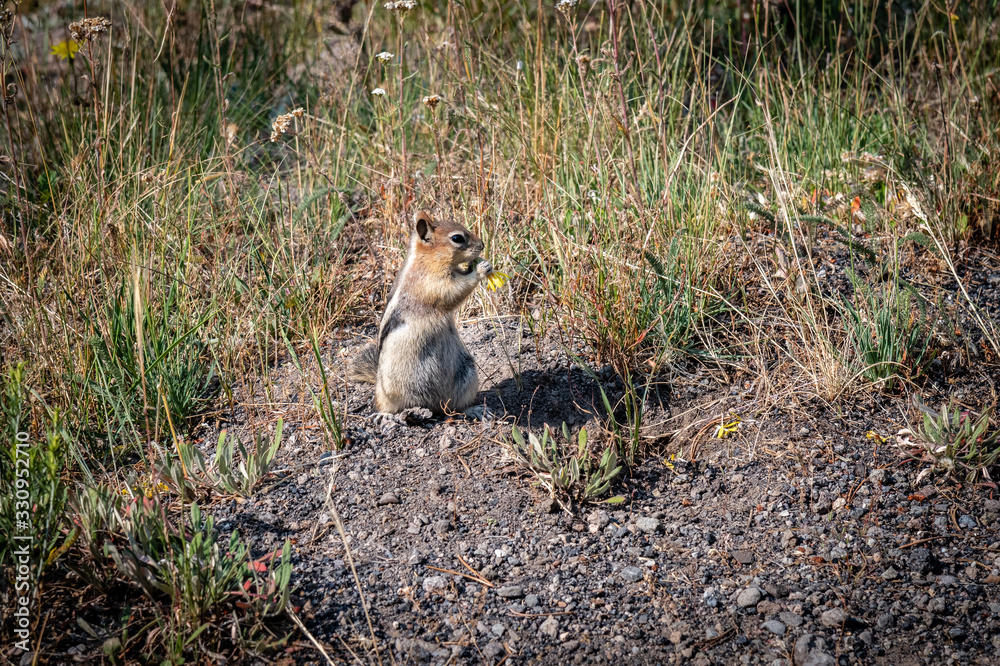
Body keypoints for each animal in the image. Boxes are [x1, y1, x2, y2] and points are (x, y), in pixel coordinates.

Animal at [348, 210, 492, 419]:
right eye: (457, 238)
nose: (481, 245)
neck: (426, 259)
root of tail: (434, 405)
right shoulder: (430, 283)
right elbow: (453, 291)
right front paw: (481, 269)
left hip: (468, 373)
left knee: (457, 407)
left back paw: (474, 409)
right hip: (387, 389)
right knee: (386, 404)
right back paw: (384, 415)